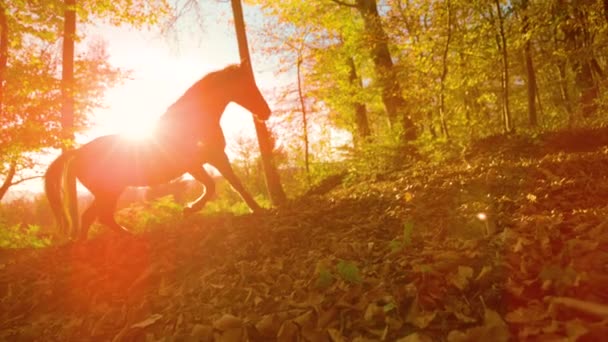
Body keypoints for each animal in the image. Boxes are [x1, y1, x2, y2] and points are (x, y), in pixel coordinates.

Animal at [44, 63, 270, 240]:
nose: (266, 112)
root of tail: (79, 152)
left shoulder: (212, 159)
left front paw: (257, 208)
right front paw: (190, 209)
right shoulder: (200, 162)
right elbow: (215, 185)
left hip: (107, 193)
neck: (193, 121)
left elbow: (232, 184)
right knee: (98, 217)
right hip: (109, 192)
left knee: (94, 217)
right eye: (247, 85)